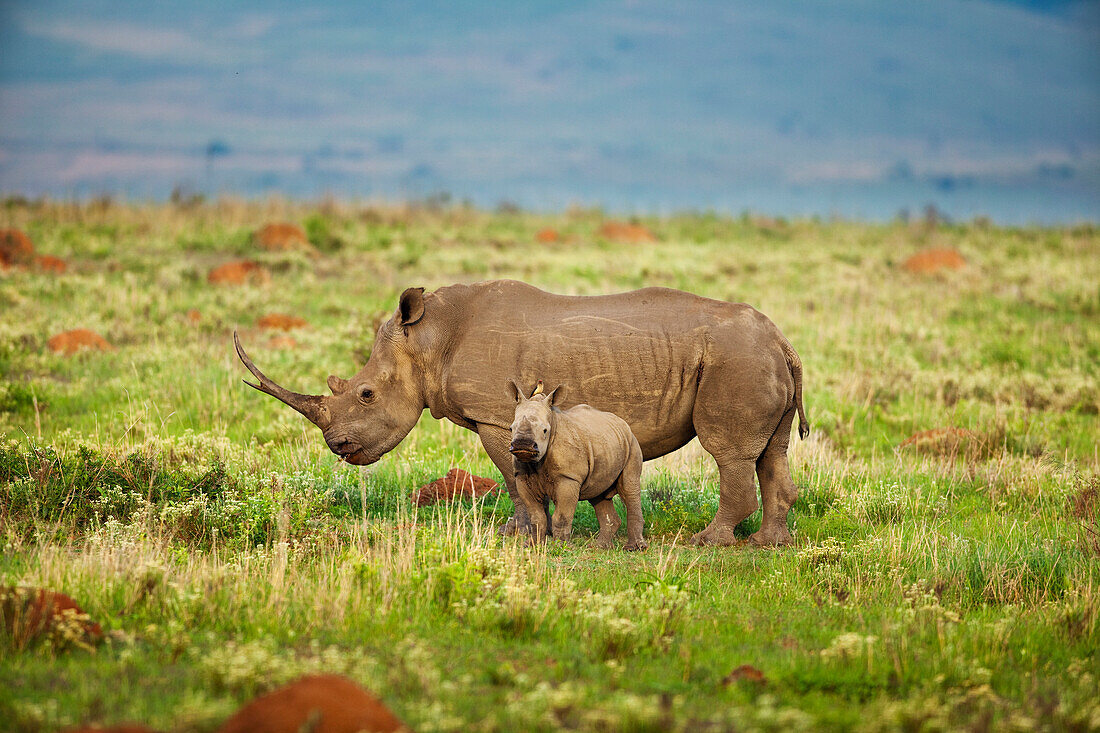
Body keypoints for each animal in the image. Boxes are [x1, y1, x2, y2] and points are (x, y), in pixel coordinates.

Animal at [510, 378, 646, 545]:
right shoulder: (521, 476)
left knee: (629, 487)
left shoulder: (568, 477)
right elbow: (536, 516)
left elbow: (561, 517)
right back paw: (600, 547)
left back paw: (634, 547)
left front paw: (561, 546)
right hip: (606, 443)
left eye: (545, 430)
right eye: (511, 429)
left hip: (632, 444)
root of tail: (623, 423)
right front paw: (531, 545)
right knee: (598, 494)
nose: (522, 445)